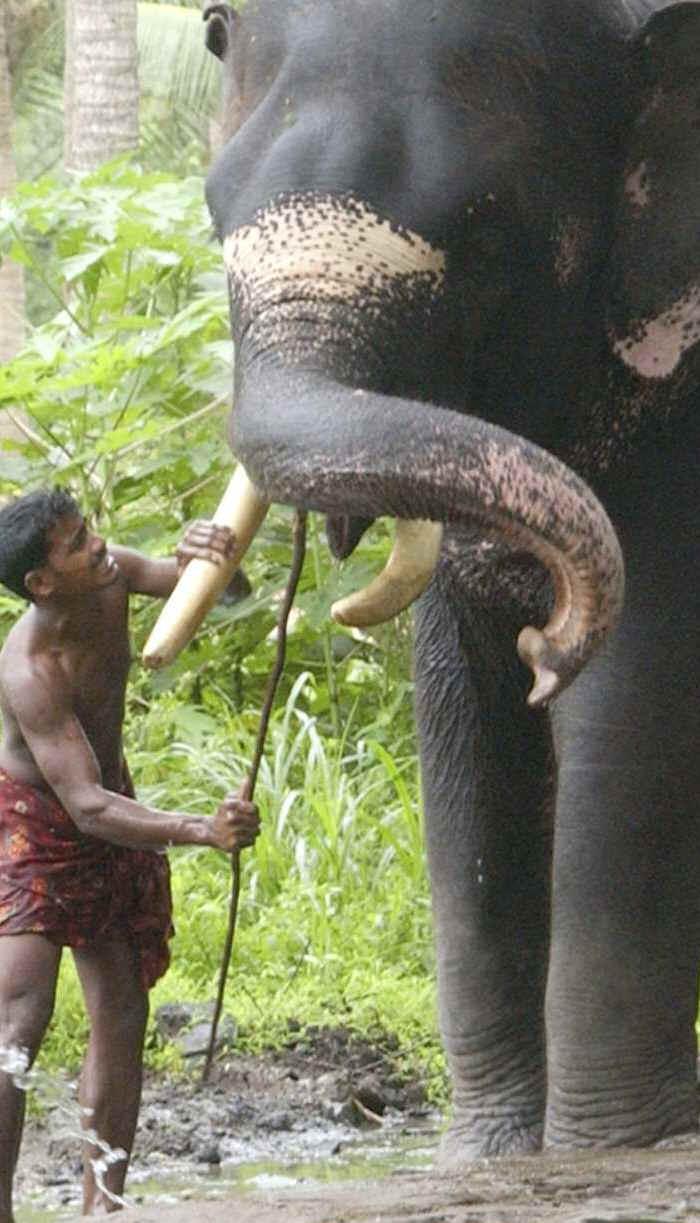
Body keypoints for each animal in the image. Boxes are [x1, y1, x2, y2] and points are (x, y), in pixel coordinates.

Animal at [197, 0, 700, 1162]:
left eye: (488, 244)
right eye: (210, 217)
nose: (547, 644)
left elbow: (636, 698)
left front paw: (608, 1154)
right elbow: (461, 719)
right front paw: (492, 1153)